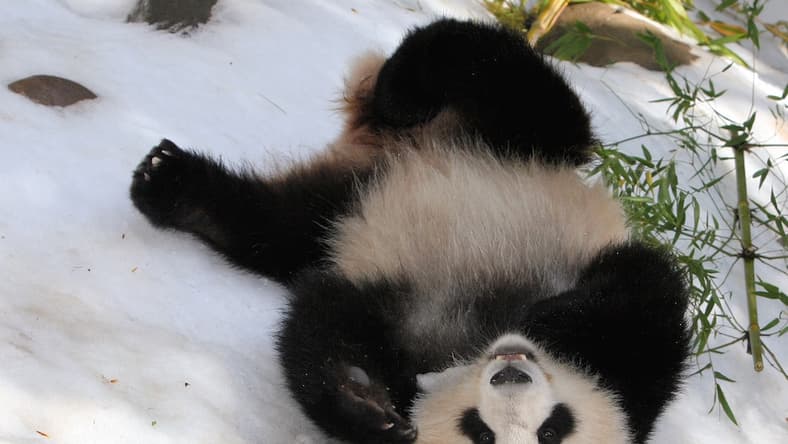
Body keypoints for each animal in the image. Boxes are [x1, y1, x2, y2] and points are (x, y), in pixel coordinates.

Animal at [130, 19, 691, 444]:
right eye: (554, 427)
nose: (511, 368)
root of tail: (390, 150)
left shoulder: (391, 314)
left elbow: (322, 325)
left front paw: (366, 405)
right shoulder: (625, 337)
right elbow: (644, 292)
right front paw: (548, 320)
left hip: (338, 210)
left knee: (283, 227)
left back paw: (176, 187)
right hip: (519, 147)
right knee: (509, 80)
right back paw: (401, 88)